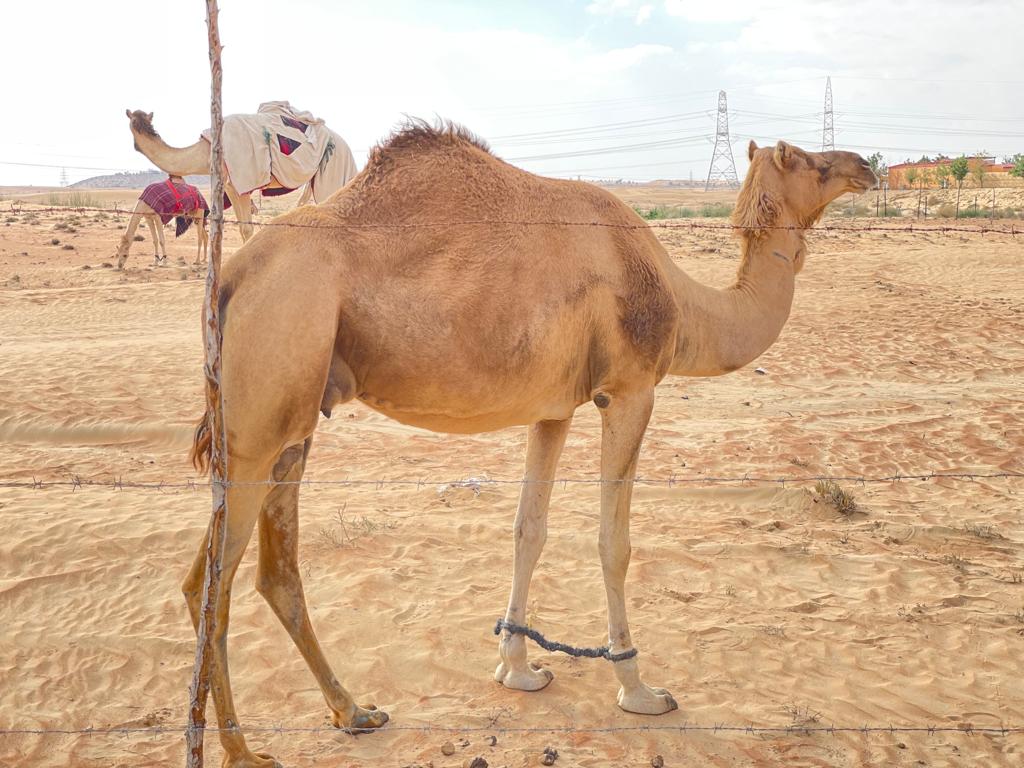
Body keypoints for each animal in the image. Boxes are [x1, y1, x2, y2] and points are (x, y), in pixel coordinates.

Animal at [125, 108, 356, 242]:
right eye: (134, 121)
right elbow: (242, 228)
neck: (207, 150)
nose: (136, 144)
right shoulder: (230, 185)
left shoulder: (242, 181)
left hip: (332, 171)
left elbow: (247, 230)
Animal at [183, 122, 876, 768]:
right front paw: (638, 687)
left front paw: (518, 668)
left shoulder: (554, 408)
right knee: (210, 582)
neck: (684, 306)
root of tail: (231, 277)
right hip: (260, 413)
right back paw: (242, 749)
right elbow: (613, 543)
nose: (865, 165)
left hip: (293, 423)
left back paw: (354, 712)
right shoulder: (631, 391)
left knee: (271, 572)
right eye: (807, 160)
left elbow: (529, 530)